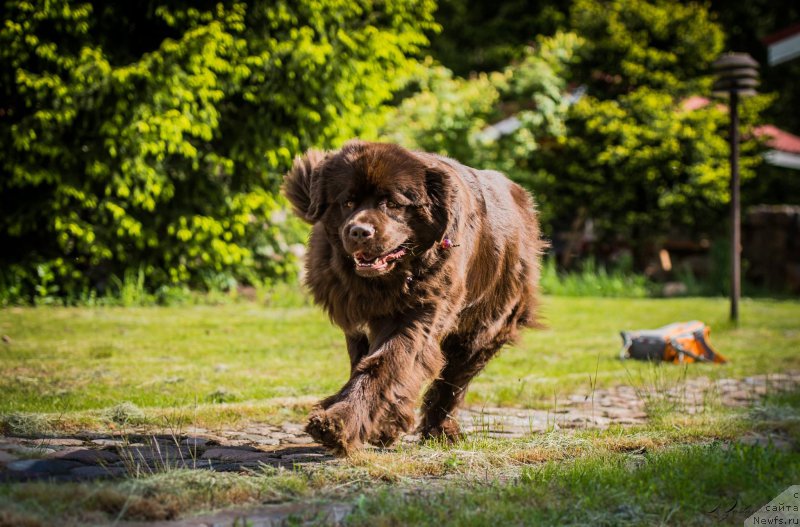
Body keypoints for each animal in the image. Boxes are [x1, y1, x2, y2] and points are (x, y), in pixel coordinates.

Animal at [282, 139, 544, 454]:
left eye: (394, 204)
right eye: (347, 202)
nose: (359, 231)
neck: (386, 281)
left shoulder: (420, 313)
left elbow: (385, 364)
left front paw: (339, 422)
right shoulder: (357, 321)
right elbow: (371, 364)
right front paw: (368, 421)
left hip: (487, 324)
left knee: (454, 378)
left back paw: (440, 429)